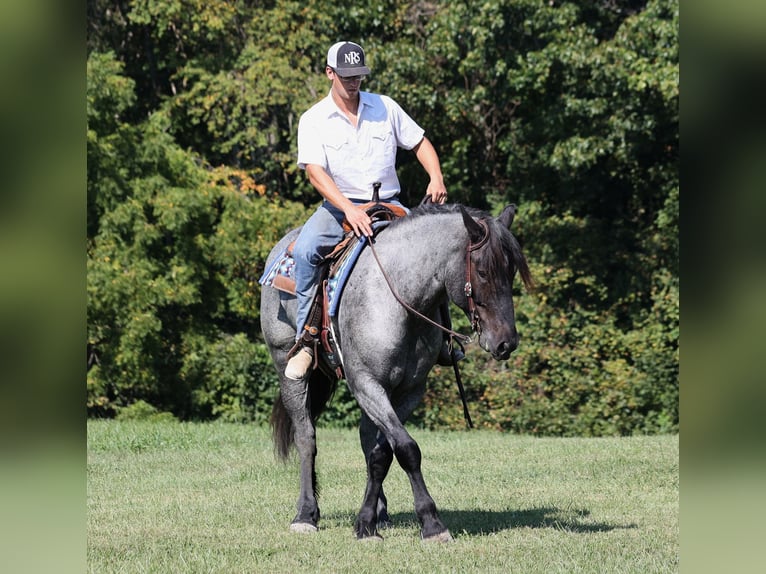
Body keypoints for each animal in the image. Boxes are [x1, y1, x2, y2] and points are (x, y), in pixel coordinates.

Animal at [262, 204, 536, 544]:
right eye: (483, 271)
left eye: (511, 272)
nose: (506, 343)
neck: (398, 300)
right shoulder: (367, 384)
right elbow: (406, 449)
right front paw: (432, 523)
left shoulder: (408, 391)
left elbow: (382, 453)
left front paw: (367, 522)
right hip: (288, 371)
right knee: (306, 438)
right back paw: (306, 514)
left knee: (367, 440)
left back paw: (380, 512)